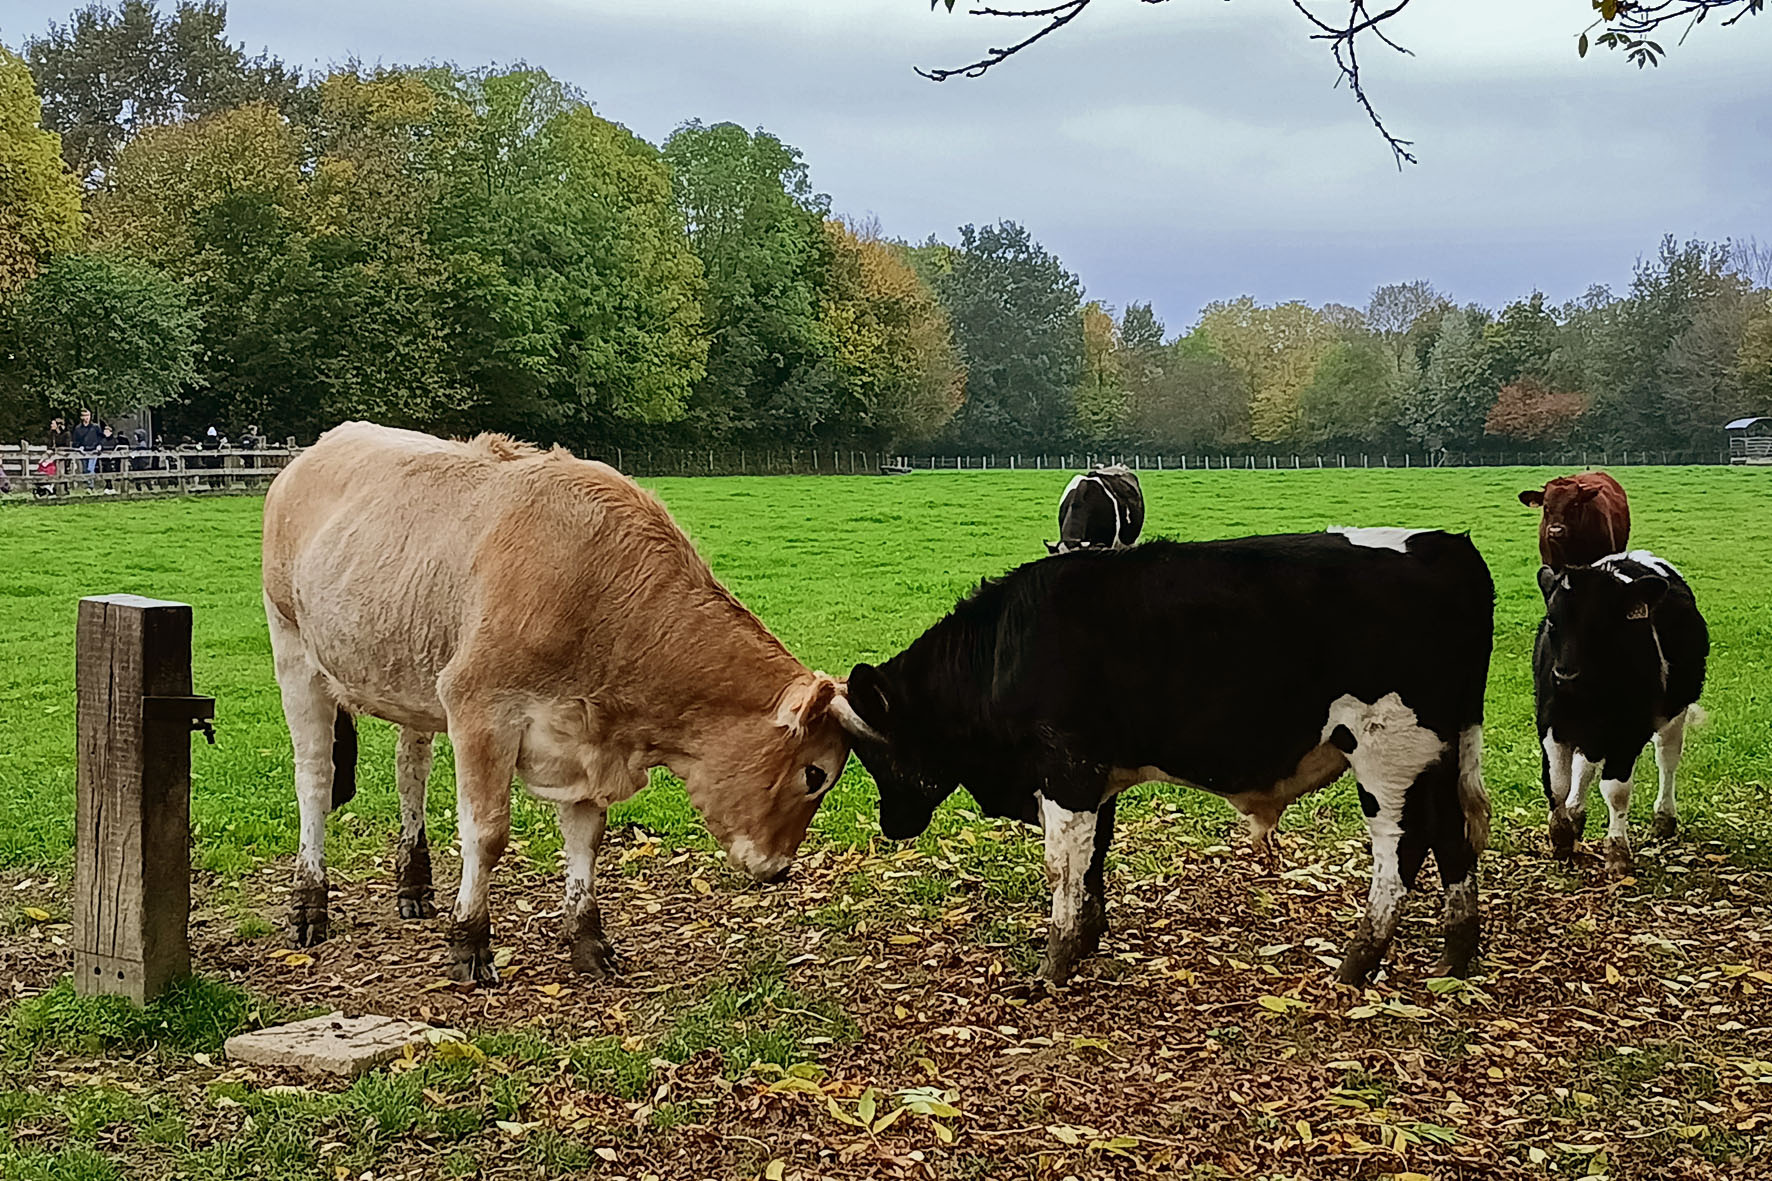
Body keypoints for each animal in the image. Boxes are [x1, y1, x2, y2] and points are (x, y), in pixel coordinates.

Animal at [263, 423, 855, 984]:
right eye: (815, 775)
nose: (779, 868)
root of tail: (312, 451)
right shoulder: (480, 710)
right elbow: (486, 833)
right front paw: (470, 941)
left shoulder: (587, 737)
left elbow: (586, 839)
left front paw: (588, 940)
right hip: (293, 649)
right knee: (314, 776)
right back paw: (310, 902)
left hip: (413, 674)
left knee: (411, 770)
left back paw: (413, 883)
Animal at [831, 529, 1494, 987]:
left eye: (872, 753)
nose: (891, 825)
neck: (1006, 647)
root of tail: (1447, 547)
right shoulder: (1094, 778)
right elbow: (1093, 856)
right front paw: (1087, 939)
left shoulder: (1066, 772)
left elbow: (1062, 866)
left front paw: (1052, 966)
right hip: (1438, 755)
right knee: (1451, 839)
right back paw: (1454, 957)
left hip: (1387, 753)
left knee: (1400, 855)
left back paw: (1357, 965)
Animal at [1534, 551, 1708, 874]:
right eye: (1552, 620)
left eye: (1601, 622)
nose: (1565, 674)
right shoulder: (1551, 724)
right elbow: (1557, 783)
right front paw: (1561, 834)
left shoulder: (1628, 733)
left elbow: (1616, 791)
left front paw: (1617, 850)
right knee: (1584, 766)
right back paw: (1575, 812)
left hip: (1675, 711)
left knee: (1667, 758)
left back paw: (1664, 817)